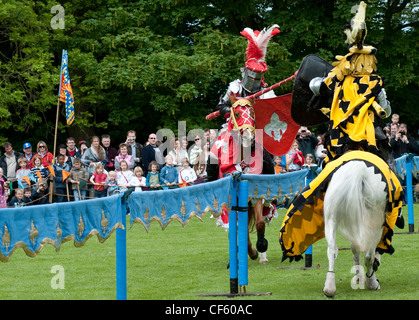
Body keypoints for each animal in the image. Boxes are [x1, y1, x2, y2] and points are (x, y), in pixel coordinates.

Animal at [324, 160, 388, 298]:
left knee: (332, 250)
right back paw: (372, 283)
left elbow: (355, 249)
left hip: (331, 218)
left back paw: (329, 288)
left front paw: (358, 276)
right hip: (374, 225)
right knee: (369, 255)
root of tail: (360, 170)